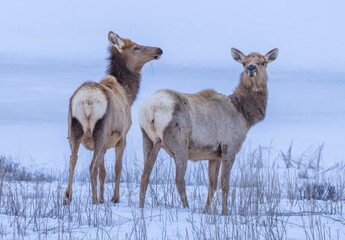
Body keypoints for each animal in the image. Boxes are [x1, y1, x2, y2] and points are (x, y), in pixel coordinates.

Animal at [64, 31, 163, 204]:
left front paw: (103, 198)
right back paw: (94, 200)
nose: (159, 50)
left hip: (73, 130)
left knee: (72, 161)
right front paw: (114, 198)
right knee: (92, 167)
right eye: (136, 47)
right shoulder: (122, 135)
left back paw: (68, 197)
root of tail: (87, 101)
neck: (129, 94)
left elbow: (103, 171)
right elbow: (117, 168)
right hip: (101, 131)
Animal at [137, 47, 276, 215]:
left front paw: (206, 211)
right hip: (178, 142)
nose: (251, 68)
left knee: (145, 175)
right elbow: (225, 184)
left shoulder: (214, 154)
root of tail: (151, 110)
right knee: (179, 179)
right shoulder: (229, 146)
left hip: (147, 139)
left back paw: (141, 207)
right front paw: (224, 213)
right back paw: (187, 208)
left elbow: (212, 184)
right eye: (244, 62)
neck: (244, 115)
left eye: (263, 62)